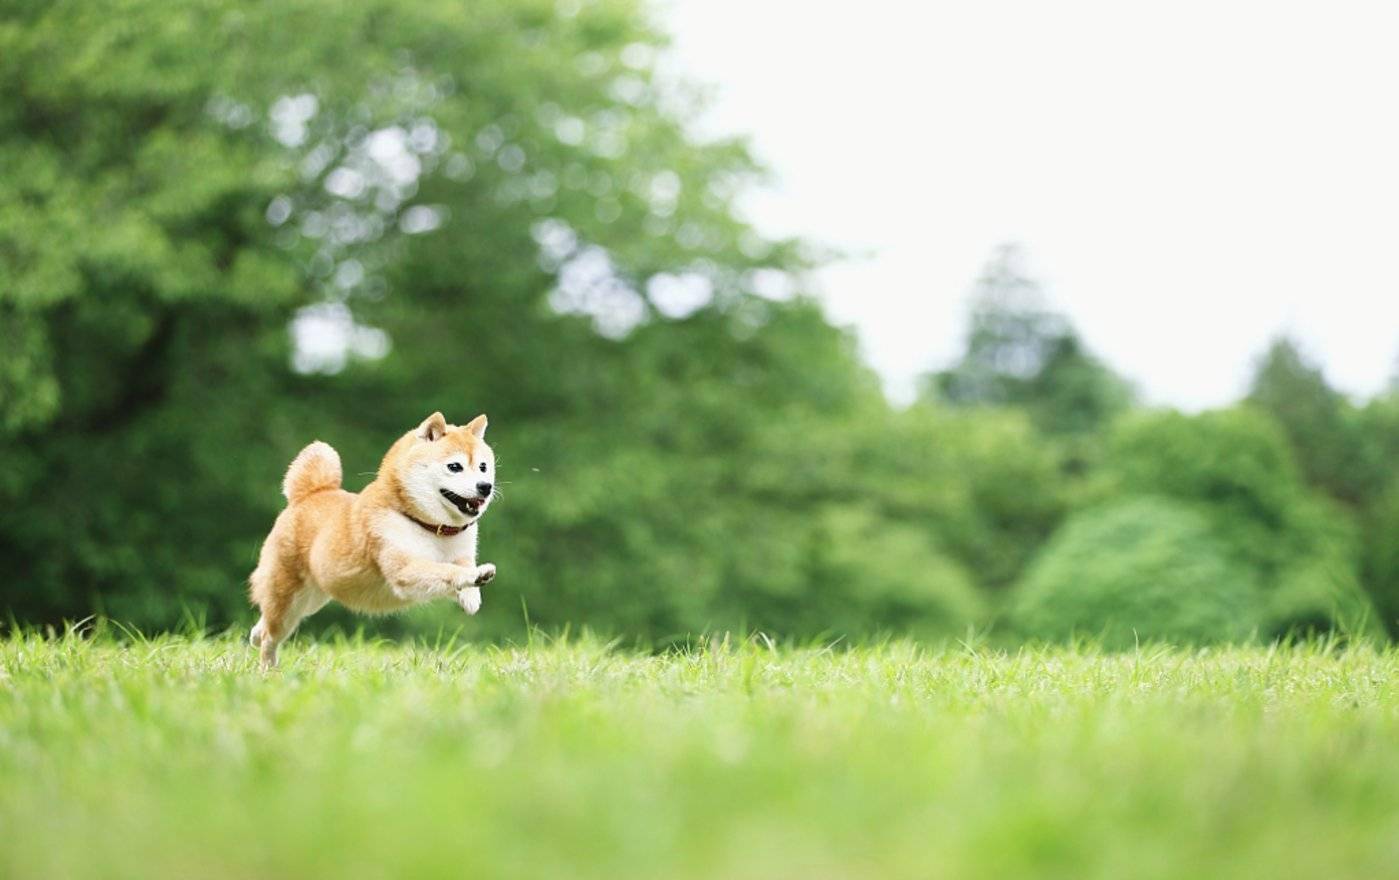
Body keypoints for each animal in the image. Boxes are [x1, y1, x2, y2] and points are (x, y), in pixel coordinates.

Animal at [250, 411, 498, 665]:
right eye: (455, 467)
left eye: (483, 467)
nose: (485, 486)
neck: (432, 527)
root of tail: (309, 493)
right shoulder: (404, 570)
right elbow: (447, 570)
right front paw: (475, 576)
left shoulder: (461, 552)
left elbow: (459, 567)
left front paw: (471, 596)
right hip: (287, 598)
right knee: (271, 636)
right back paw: (268, 667)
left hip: (310, 600)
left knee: (265, 624)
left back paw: (255, 636)